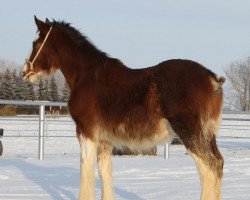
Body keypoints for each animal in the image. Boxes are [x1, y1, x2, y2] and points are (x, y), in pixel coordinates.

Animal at [23, 16, 226, 200]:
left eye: (35, 43)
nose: (25, 71)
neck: (87, 74)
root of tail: (213, 79)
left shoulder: (86, 133)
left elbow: (85, 171)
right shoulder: (104, 140)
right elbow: (105, 174)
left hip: (190, 134)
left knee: (208, 168)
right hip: (207, 135)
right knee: (217, 164)